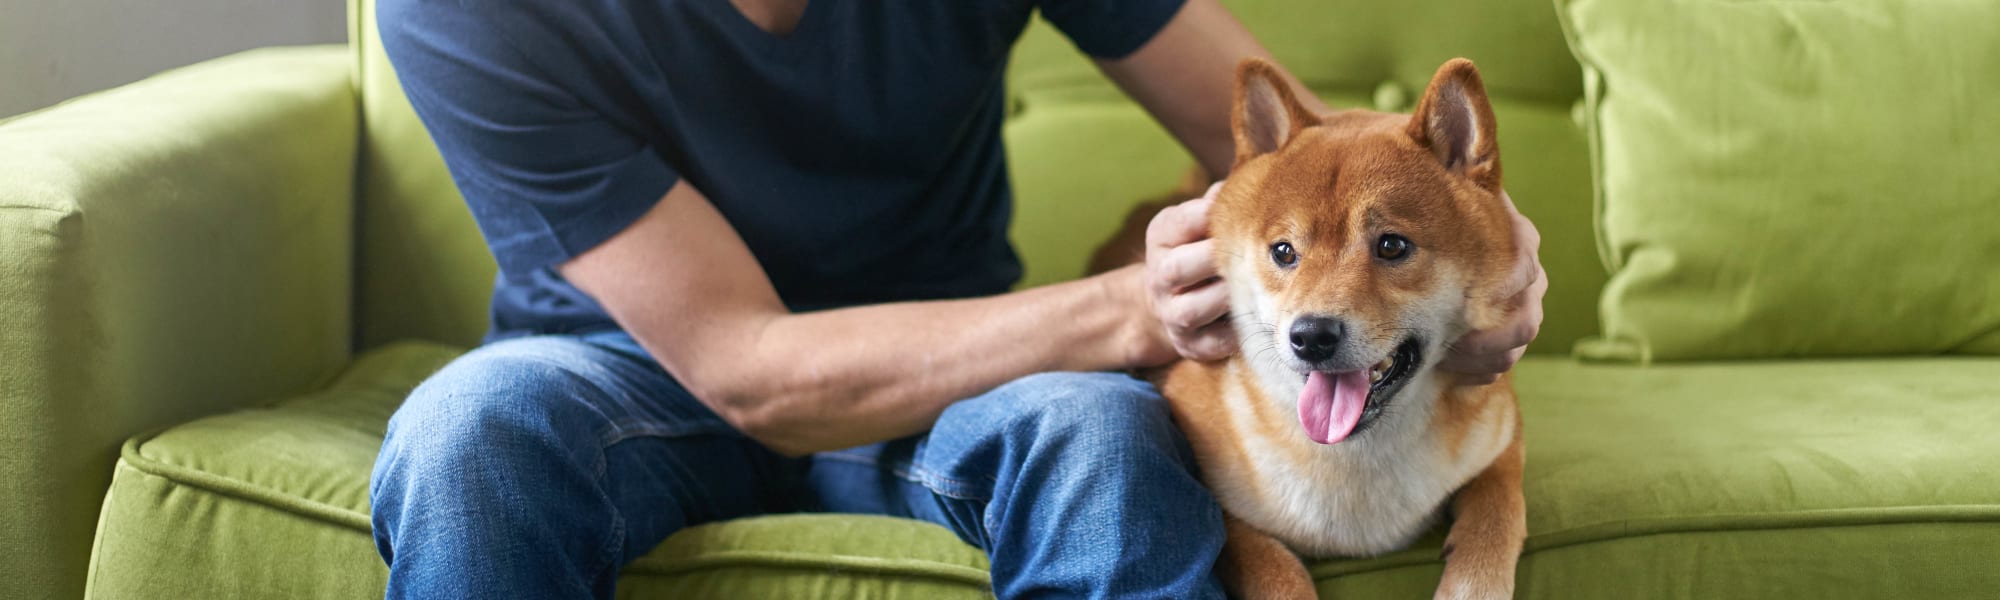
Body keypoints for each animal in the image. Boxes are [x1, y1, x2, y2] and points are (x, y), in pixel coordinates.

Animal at [1104, 57, 1520, 600]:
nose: (1311, 336)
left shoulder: (1504, 440)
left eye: (1392, 245)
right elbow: (1273, 566)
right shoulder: (1219, 508)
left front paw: (1473, 583)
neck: (1350, 464)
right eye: (1284, 251)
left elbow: (1499, 512)